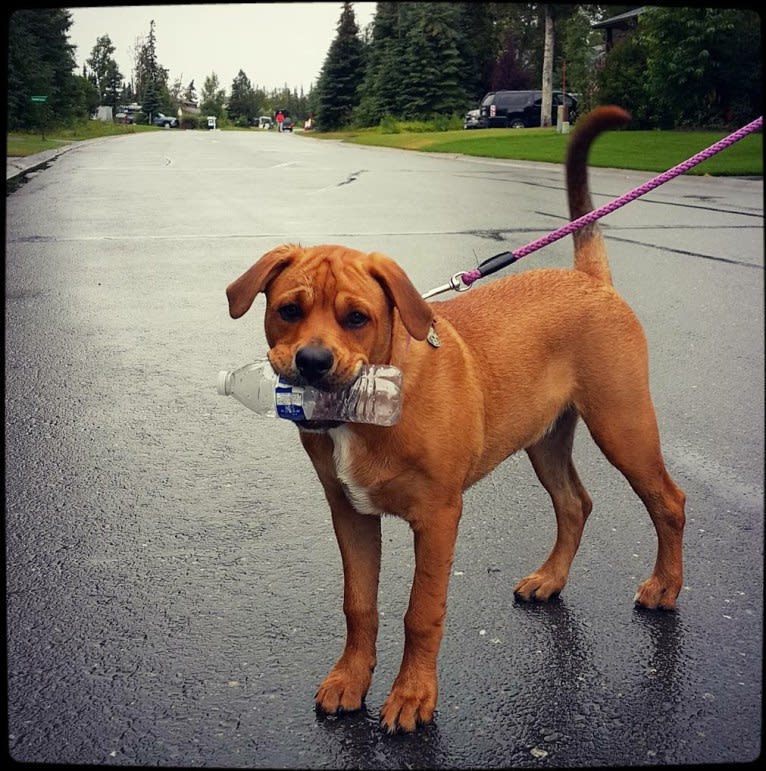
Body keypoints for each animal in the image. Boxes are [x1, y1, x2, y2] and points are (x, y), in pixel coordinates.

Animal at [225, 105, 688, 732]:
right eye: (288, 310)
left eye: (357, 318)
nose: (313, 363)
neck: (375, 402)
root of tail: (589, 279)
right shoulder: (350, 515)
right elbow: (359, 604)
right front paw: (351, 679)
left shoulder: (439, 516)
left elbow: (421, 612)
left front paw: (413, 695)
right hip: (545, 439)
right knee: (575, 504)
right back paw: (552, 578)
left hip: (624, 425)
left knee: (669, 502)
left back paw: (665, 586)